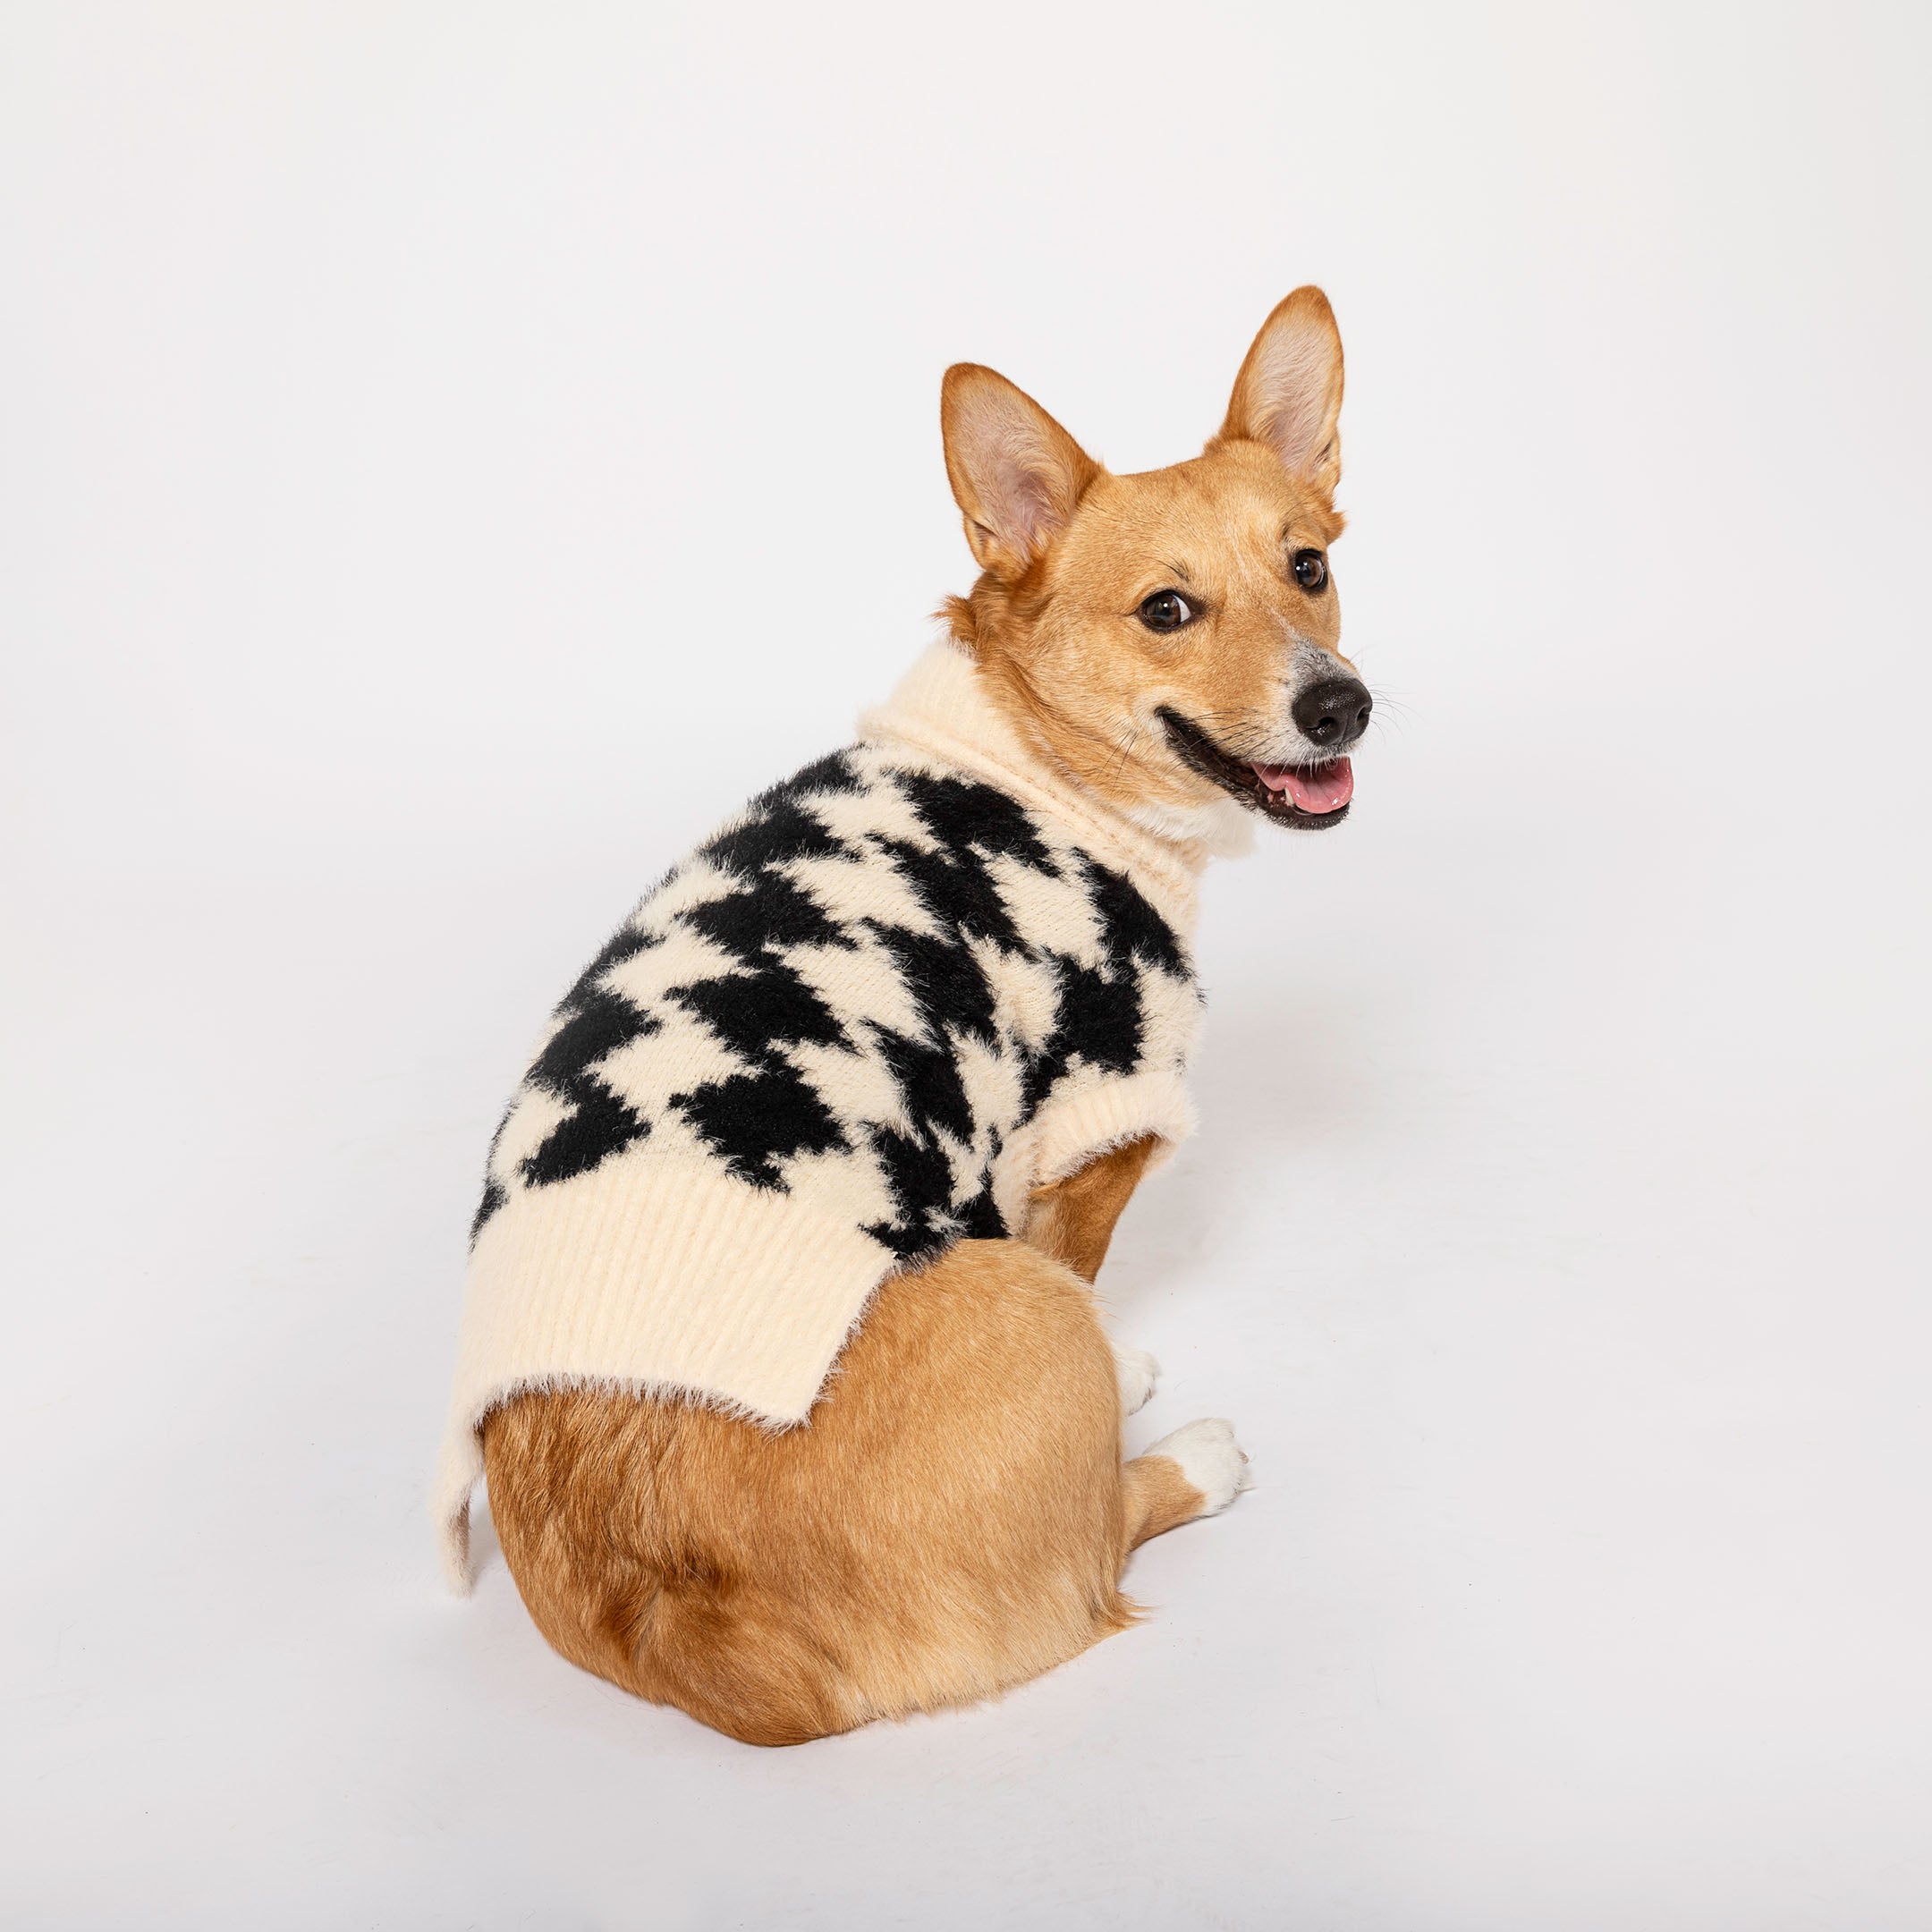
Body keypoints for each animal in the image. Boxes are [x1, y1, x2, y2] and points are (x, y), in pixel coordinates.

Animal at [440, 290, 1368, 1754]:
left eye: (1311, 568)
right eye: (1167, 609)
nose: (1343, 704)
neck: (1031, 753)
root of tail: (693, 1629)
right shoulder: (1095, 1129)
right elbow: (1086, 1272)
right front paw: (1126, 1373)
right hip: (1012, 1302)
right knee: (1094, 1544)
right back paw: (1183, 1452)